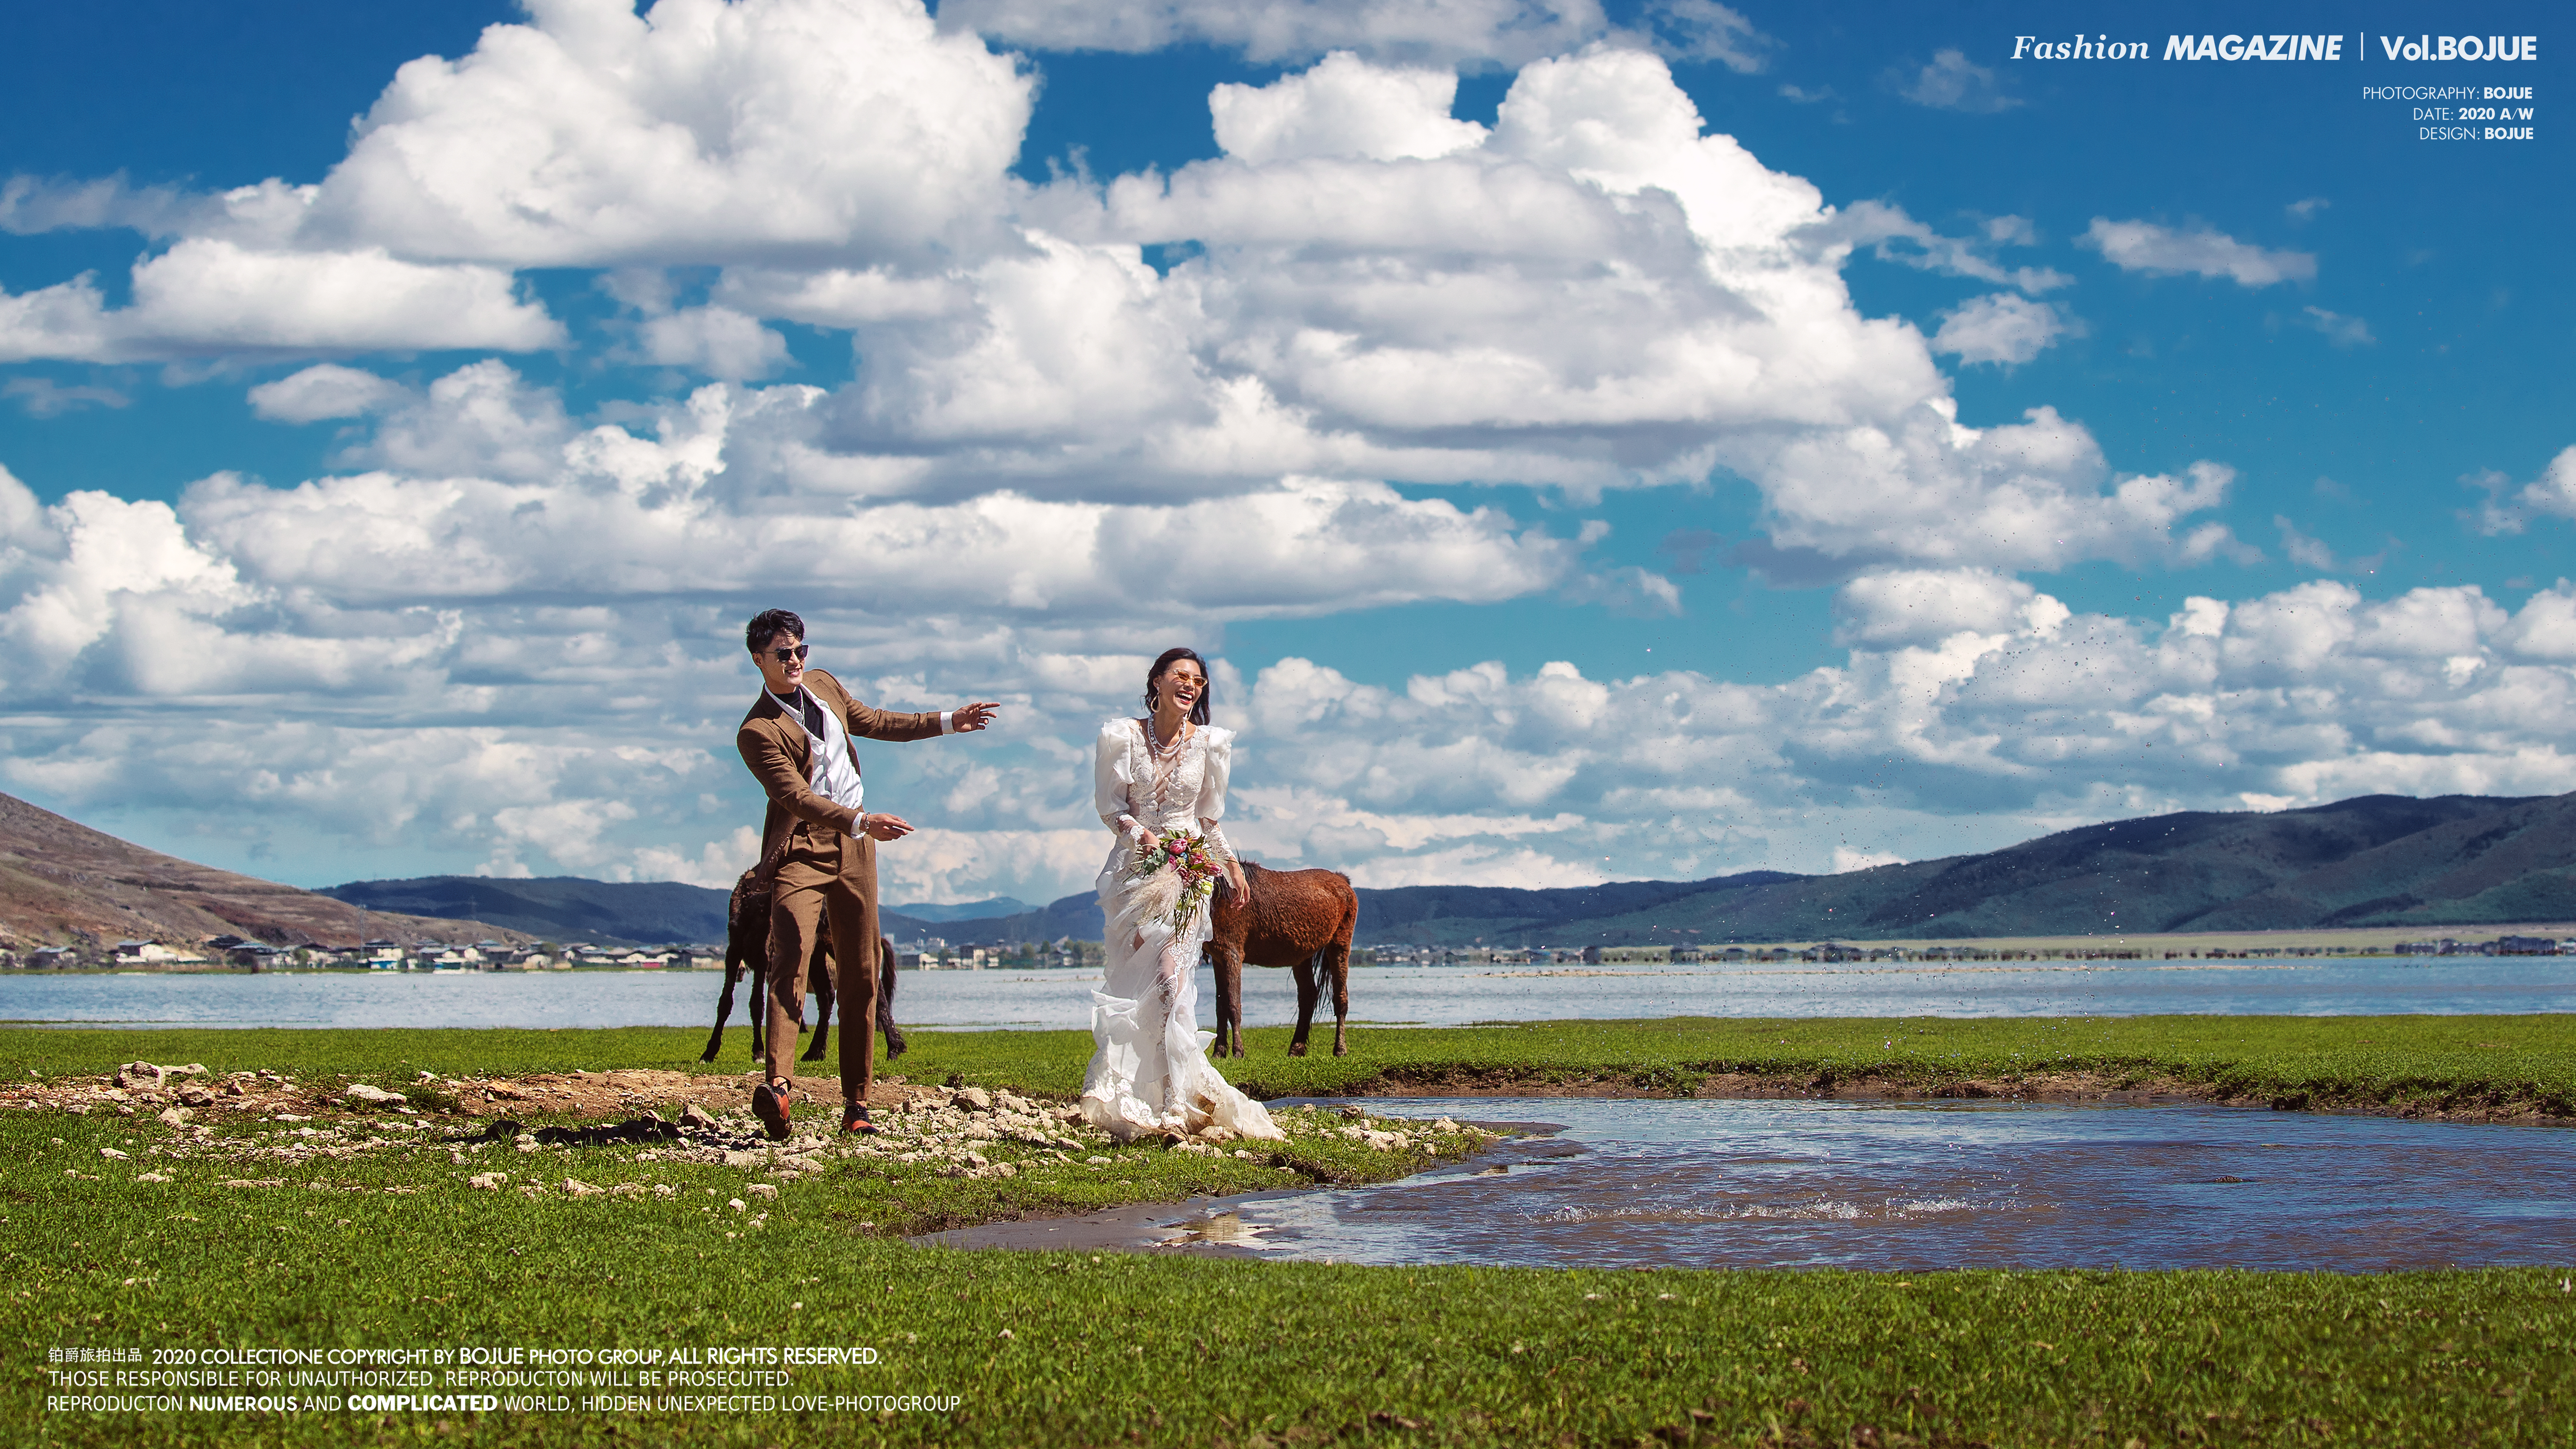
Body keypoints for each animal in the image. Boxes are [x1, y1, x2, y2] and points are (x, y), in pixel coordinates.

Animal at [705, 861, 907, 1067]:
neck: (753, 910)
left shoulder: (764, 957)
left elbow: (757, 1004)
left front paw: (759, 1052)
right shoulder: (734, 952)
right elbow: (725, 1002)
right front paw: (709, 1052)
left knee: (875, 986)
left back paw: (894, 1048)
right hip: (816, 953)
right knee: (827, 995)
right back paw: (815, 1051)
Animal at [1200, 851, 1360, 1057]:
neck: (1220, 898)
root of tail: (1342, 881)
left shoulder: (1232, 955)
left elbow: (1233, 1005)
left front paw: (1238, 1052)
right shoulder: (1219, 959)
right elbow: (1221, 1007)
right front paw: (1219, 1052)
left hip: (1339, 946)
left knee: (1340, 998)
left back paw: (1340, 1049)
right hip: (1303, 956)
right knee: (1308, 997)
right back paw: (1296, 1048)